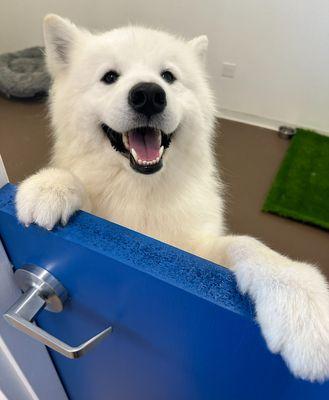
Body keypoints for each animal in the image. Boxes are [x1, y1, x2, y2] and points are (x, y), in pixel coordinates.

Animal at [16, 14, 328, 380]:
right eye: (110, 77)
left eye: (168, 76)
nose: (149, 94)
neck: (143, 190)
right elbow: (80, 187)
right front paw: (51, 185)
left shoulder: (193, 252)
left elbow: (248, 246)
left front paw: (301, 301)